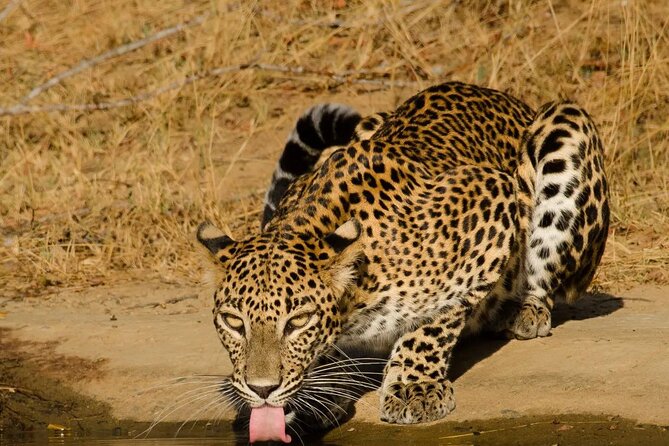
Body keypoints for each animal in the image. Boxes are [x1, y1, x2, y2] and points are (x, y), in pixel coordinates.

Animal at [196, 81, 609, 438]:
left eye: (298, 322)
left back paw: (524, 312)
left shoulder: (492, 200)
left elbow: (433, 322)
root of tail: (507, 98)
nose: (262, 389)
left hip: (566, 126)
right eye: (233, 322)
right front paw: (320, 393)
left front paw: (415, 388)